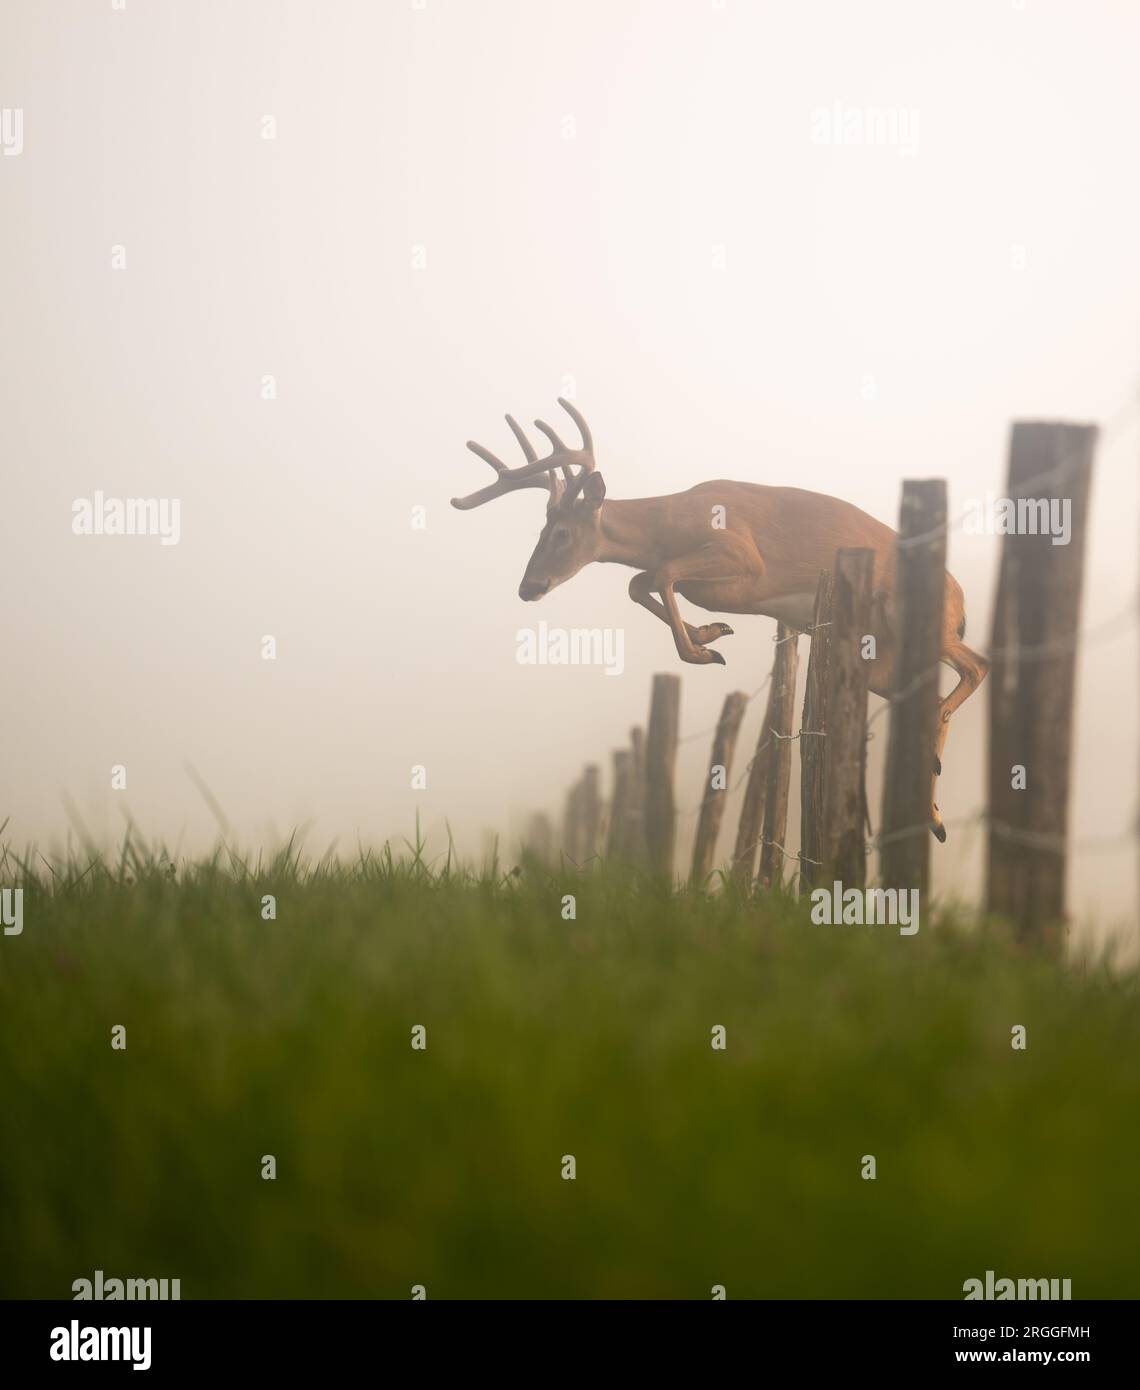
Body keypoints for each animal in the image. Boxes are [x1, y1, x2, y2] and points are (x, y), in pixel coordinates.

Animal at [452, 399, 988, 841]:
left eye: (561, 533)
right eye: (542, 530)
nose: (529, 587)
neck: (669, 524)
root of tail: (961, 598)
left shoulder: (741, 557)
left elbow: (660, 575)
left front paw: (703, 650)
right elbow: (642, 582)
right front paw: (711, 635)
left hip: (924, 623)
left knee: (977, 665)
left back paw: (934, 796)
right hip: (880, 660)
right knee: (930, 692)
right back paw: (933, 812)